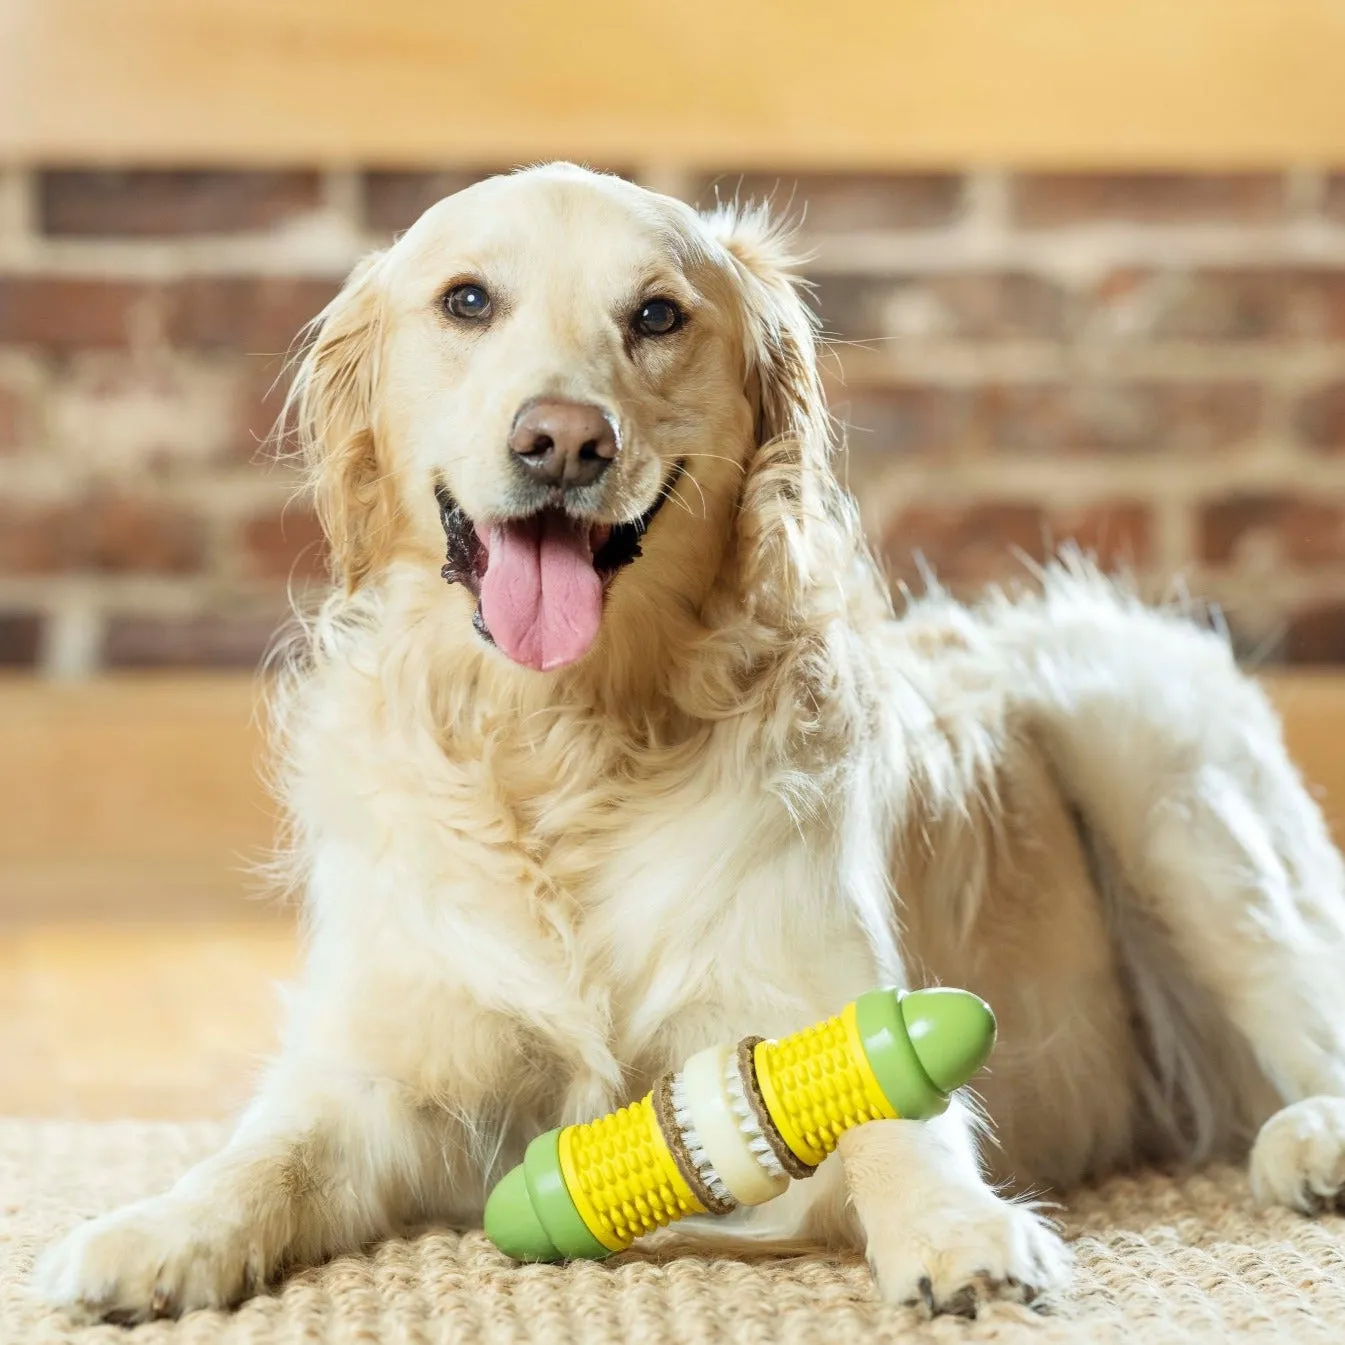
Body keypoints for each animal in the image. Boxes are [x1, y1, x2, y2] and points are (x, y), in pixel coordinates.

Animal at [34, 165, 1345, 1323]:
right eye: (467, 300)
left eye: (656, 315)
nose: (563, 441)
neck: (564, 742)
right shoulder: (381, 1066)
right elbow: (269, 1151)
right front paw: (148, 1232)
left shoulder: (813, 1007)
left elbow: (893, 1123)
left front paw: (955, 1231)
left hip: (1163, 774)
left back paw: (1311, 1142)